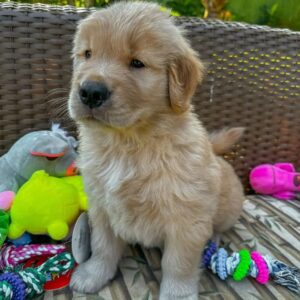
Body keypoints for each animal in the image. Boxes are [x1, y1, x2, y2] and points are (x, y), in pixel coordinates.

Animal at [68, 1, 244, 298]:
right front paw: (94, 274)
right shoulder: (101, 205)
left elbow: (178, 263)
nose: (90, 91)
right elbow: (103, 246)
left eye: (137, 63)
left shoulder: (187, 218)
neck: (127, 143)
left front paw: (177, 293)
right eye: (87, 54)